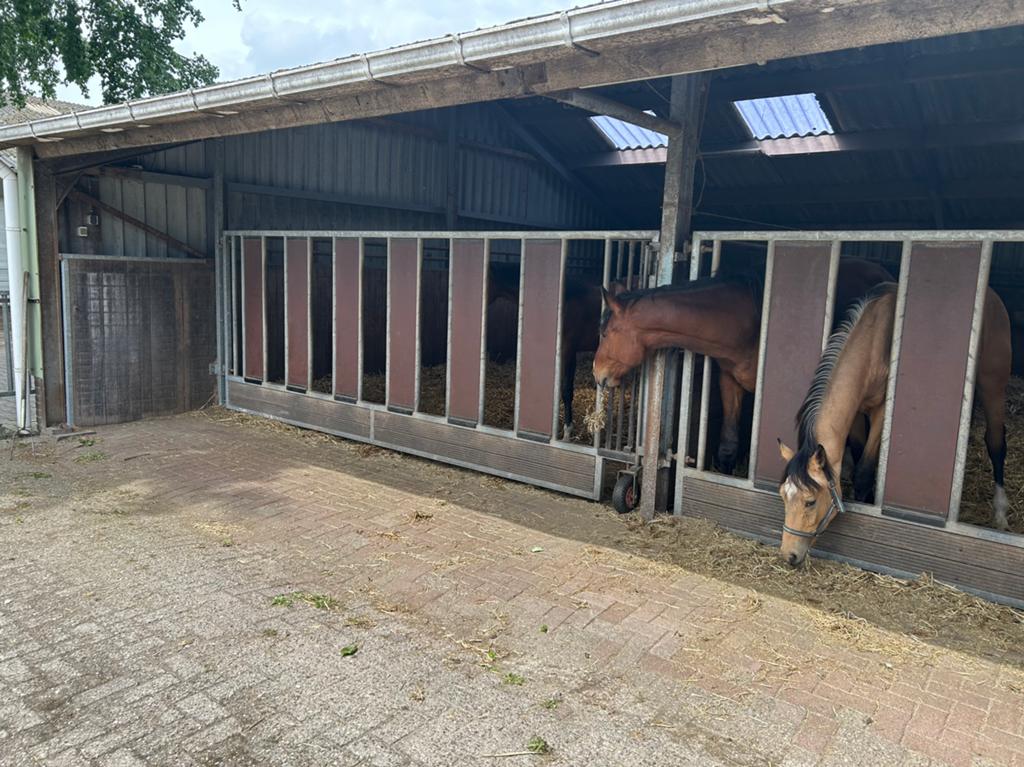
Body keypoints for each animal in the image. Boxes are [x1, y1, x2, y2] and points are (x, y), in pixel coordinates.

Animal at [777, 282, 1012, 567]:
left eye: (810, 502)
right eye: (783, 495)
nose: (789, 555)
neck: (871, 344)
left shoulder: (881, 410)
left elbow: (864, 470)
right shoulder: (857, 410)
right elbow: (858, 454)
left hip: (992, 383)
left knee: (996, 443)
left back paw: (1000, 514)